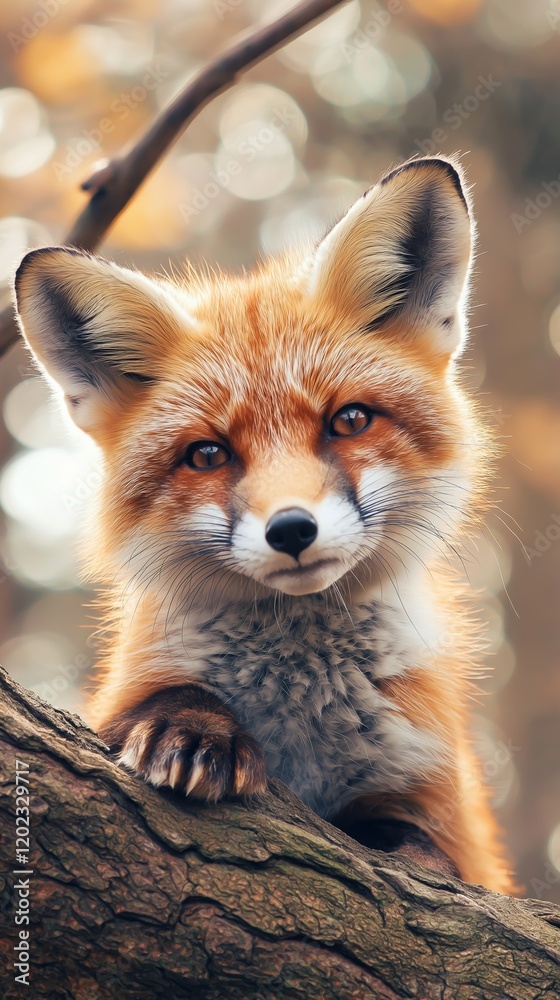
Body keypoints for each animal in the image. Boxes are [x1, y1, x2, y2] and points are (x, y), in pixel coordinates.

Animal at [14, 155, 515, 894]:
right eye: (208, 454)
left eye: (350, 420)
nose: (292, 531)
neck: (302, 712)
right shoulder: (116, 698)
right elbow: (162, 698)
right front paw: (194, 726)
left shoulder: (443, 811)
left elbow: (422, 850)